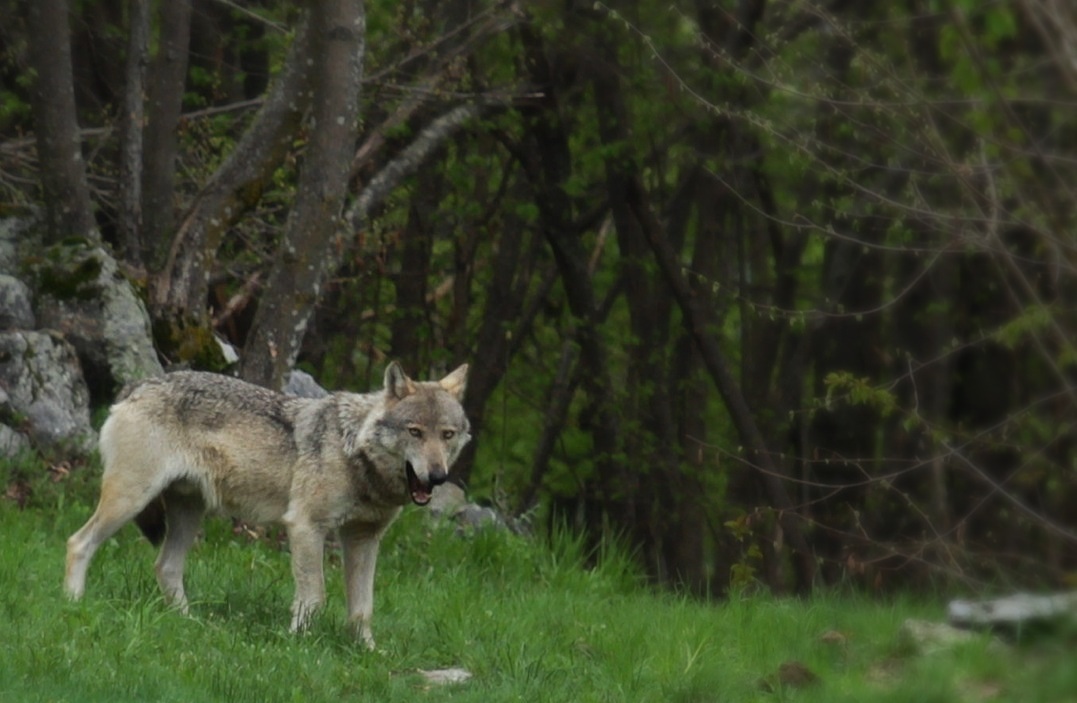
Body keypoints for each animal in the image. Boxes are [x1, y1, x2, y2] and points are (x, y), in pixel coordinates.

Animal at [64, 362, 470, 647]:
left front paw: (367, 653)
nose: (437, 476)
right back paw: (73, 603)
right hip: (130, 500)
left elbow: (362, 609)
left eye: (447, 435)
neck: (355, 451)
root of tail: (139, 385)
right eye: (414, 432)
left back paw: (188, 623)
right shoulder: (306, 526)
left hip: (188, 514)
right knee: (78, 542)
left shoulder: (364, 538)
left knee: (165, 567)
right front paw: (298, 644)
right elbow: (315, 596)